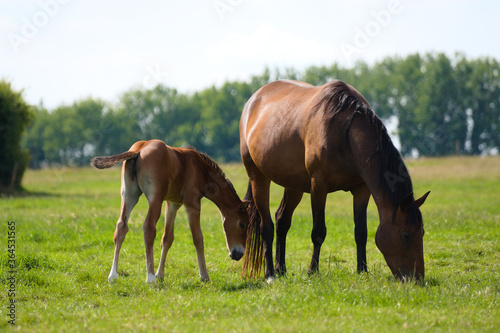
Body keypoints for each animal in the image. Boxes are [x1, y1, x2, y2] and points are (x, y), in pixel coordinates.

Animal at [91, 139, 248, 282]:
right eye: (242, 224)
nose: (237, 254)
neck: (200, 168)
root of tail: (139, 150)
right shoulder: (192, 203)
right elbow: (198, 238)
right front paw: (204, 276)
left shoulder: (172, 204)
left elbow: (167, 238)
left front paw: (160, 275)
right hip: (155, 198)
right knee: (148, 227)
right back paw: (150, 278)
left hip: (129, 195)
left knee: (121, 226)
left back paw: (113, 276)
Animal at [239, 80, 430, 280]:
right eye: (406, 234)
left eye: (422, 232)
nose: (417, 277)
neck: (345, 133)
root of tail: (253, 100)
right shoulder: (318, 187)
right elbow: (318, 232)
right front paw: (313, 270)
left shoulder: (362, 190)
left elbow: (361, 232)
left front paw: (362, 270)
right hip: (258, 178)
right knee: (266, 226)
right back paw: (270, 273)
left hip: (293, 184)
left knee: (282, 220)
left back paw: (280, 268)